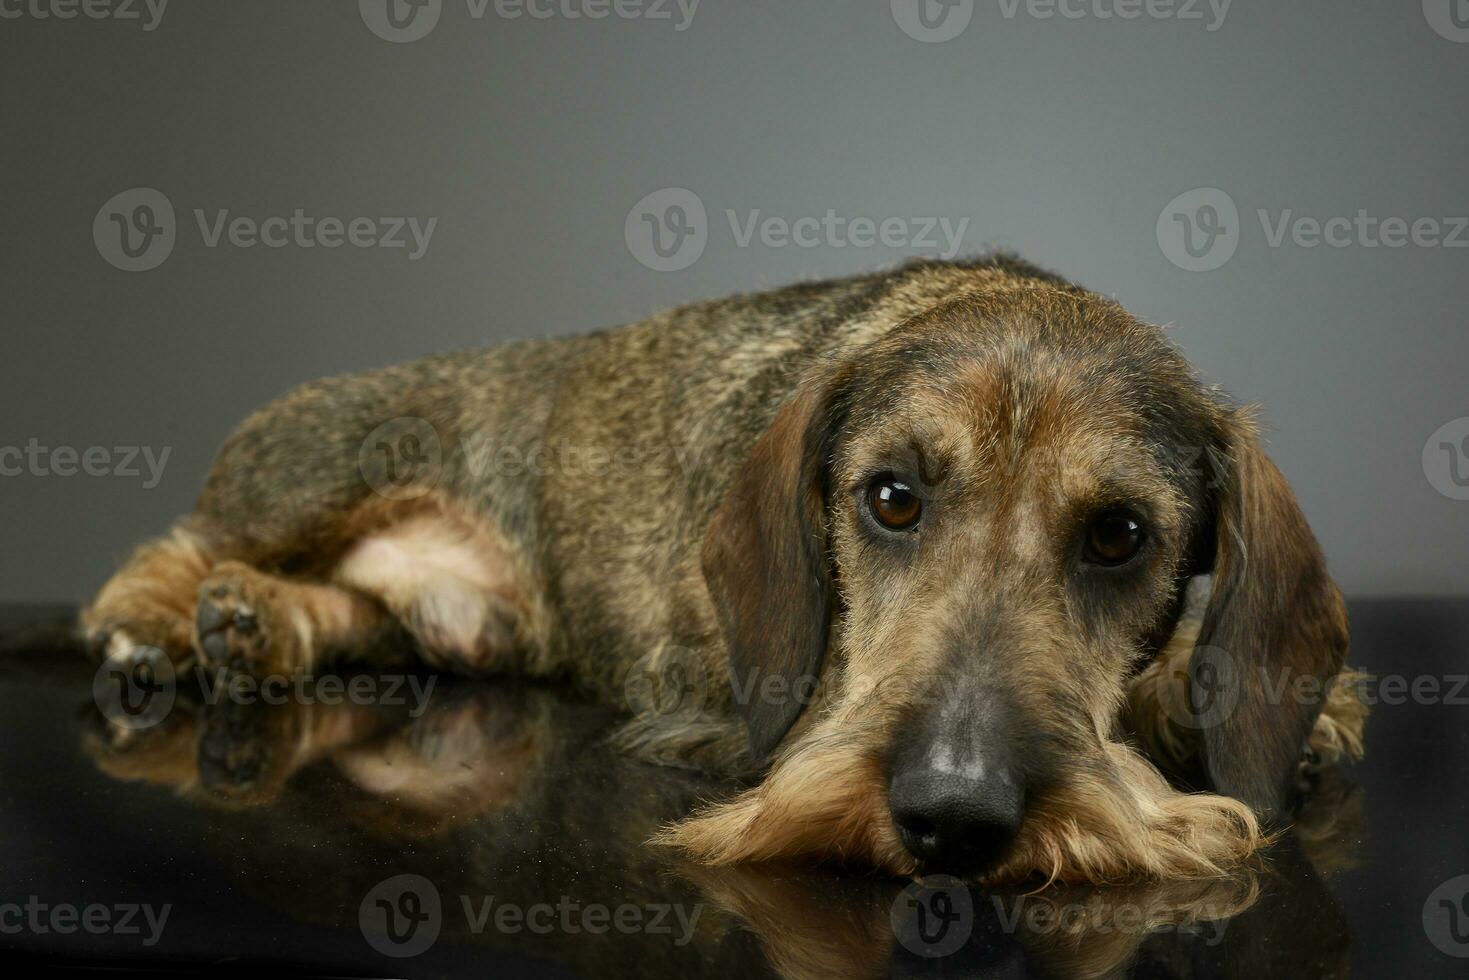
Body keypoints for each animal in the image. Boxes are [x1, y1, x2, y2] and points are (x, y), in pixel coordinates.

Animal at [83, 257, 1363, 887]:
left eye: (1117, 534)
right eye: (890, 496)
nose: (950, 814)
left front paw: (1272, 704)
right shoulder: (733, 715)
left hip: (454, 625)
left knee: (355, 606)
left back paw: (258, 624)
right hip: (323, 458)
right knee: (185, 537)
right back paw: (157, 621)